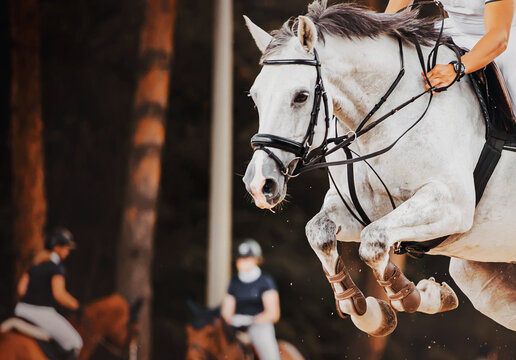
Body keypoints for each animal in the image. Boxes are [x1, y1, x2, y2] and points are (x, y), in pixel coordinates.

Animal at [242, 1, 516, 336]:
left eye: (301, 96)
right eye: (255, 96)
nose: (260, 184)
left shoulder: (452, 205)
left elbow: (372, 242)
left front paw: (407, 295)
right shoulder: (358, 209)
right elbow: (319, 233)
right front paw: (367, 308)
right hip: (481, 276)